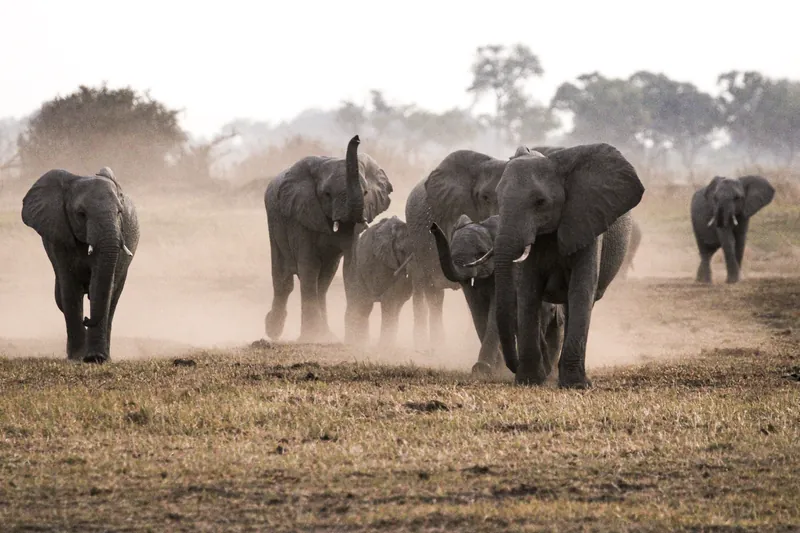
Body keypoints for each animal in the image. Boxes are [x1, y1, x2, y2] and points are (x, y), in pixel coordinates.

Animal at [21, 167, 139, 363]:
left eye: (119, 213)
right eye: (81, 214)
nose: (86, 319)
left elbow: (103, 288)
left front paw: (96, 358)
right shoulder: (59, 238)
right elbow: (70, 290)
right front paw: (77, 357)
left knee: (113, 297)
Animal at [264, 135, 393, 343]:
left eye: (366, 193)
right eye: (326, 194)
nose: (357, 138)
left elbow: (351, 265)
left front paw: (355, 337)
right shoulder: (301, 215)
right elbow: (309, 265)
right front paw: (310, 337)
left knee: (323, 281)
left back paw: (327, 335)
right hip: (274, 222)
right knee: (283, 280)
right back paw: (273, 330)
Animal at [343, 216, 414, 347]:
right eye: (402, 251)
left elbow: (397, 299)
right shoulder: (382, 263)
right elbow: (390, 299)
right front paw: (385, 347)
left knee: (364, 308)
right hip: (355, 270)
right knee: (358, 305)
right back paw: (353, 344)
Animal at [430, 214, 565, 377]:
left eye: (481, 253)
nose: (433, 226)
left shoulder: (513, 270)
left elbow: (494, 312)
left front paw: (482, 368)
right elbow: (477, 312)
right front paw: (492, 369)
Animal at [492, 144, 645, 389]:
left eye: (540, 202)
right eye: (497, 198)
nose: (513, 367)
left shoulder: (587, 221)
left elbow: (581, 290)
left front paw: (576, 385)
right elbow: (528, 292)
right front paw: (529, 381)